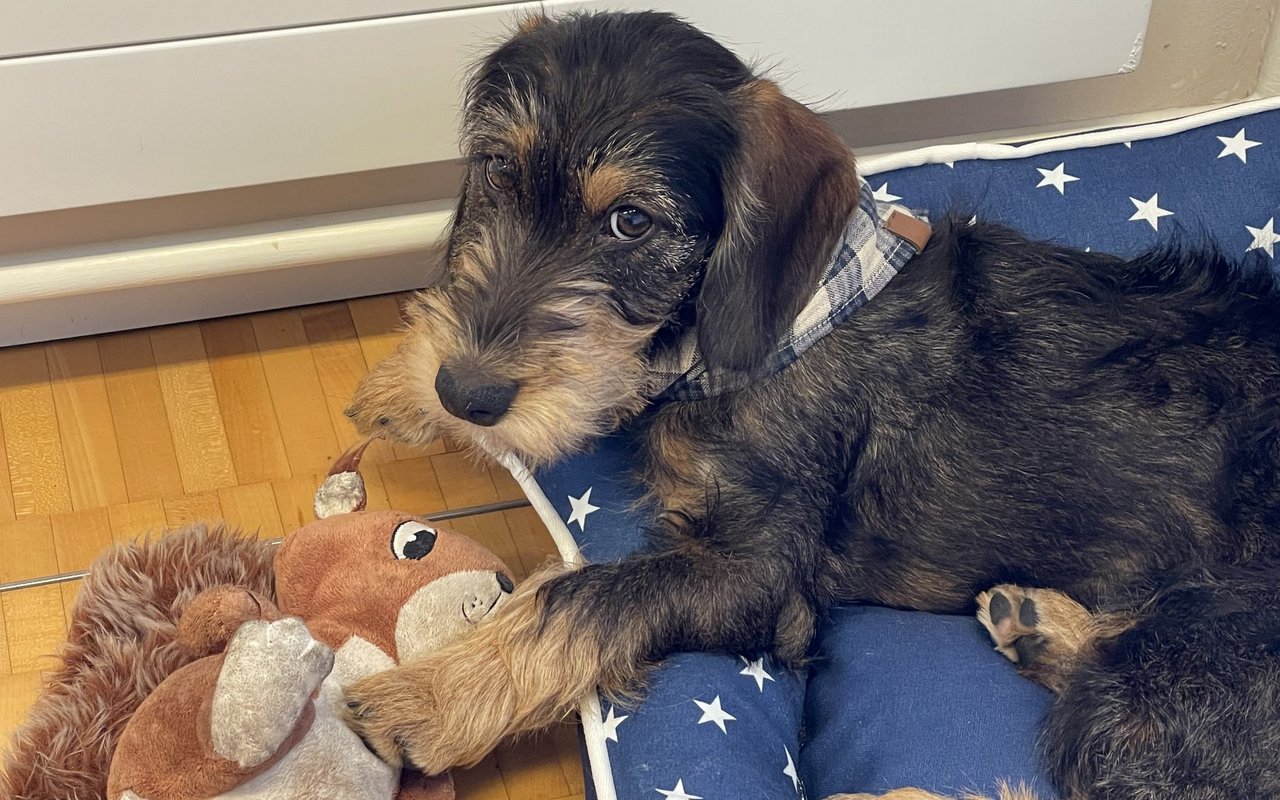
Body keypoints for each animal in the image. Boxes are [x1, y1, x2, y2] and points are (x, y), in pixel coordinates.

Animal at [340, 9, 1280, 793]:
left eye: (632, 223)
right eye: (499, 169)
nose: (465, 391)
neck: (792, 322)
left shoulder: (759, 580)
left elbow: (581, 596)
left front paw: (426, 698)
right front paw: (403, 387)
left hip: (1168, 681)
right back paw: (1040, 623)